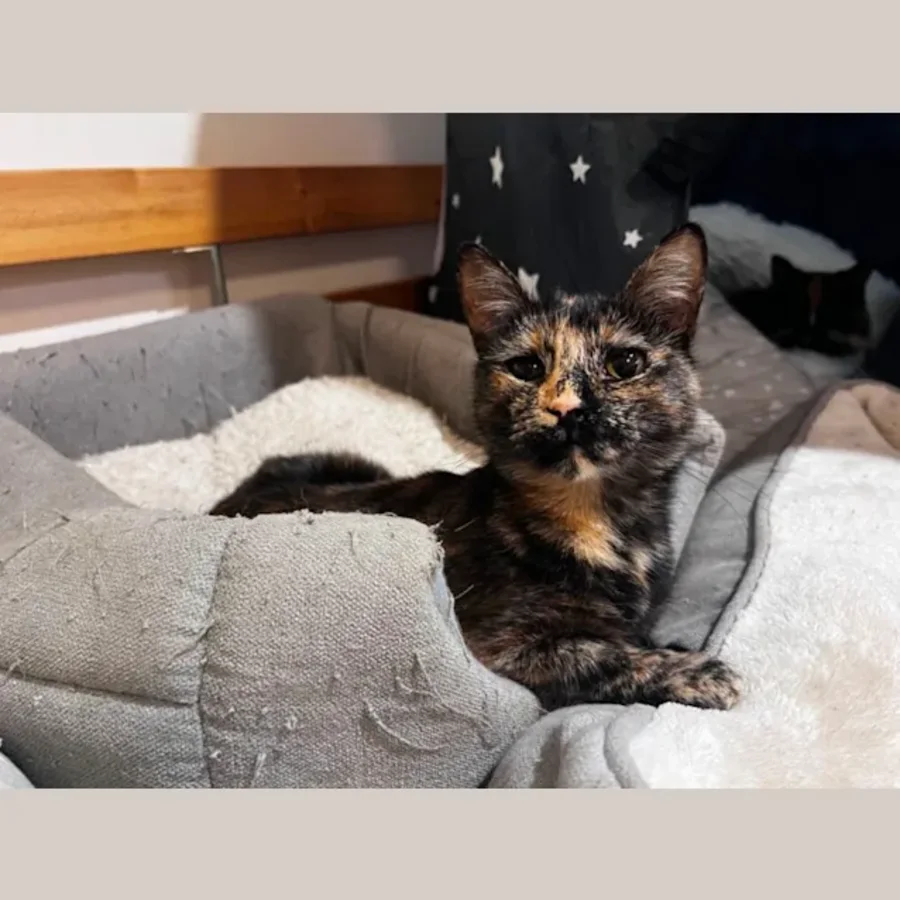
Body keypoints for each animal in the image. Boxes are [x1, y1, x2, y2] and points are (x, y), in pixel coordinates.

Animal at [210, 224, 741, 713]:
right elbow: (599, 653)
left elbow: (627, 636)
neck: (595, 517)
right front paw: (700, 672)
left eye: (624, 363)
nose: (566, 408)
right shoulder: (496, 647)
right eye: (526, 368)